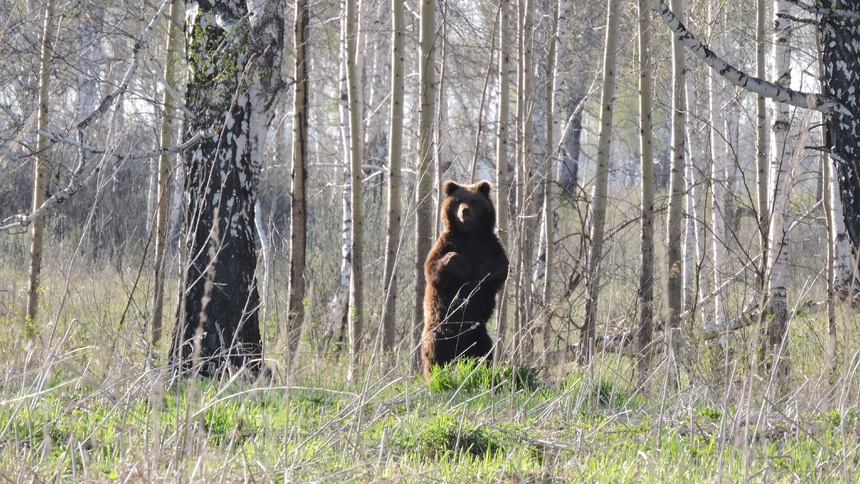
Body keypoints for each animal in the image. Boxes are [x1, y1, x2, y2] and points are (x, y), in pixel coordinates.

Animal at [420, 180, 509, 379]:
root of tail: (458, 352)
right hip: (440, 331)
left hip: (478, 336)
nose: (465, 211)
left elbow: (502, 266)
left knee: (484, 352)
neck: (469, 235)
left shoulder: (489, 245)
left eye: (474, 200)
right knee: (434, 355)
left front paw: (485, 270)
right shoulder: (446, 243)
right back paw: (434, 377)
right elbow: (433, 268)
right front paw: (464, 266)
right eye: (458, 200)